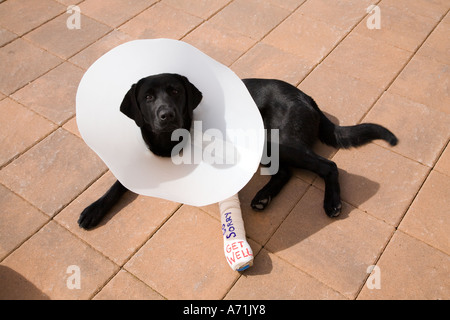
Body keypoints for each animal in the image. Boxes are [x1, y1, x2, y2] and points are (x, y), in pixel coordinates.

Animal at [78, 73, 398, 228]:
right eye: (147, 97)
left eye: (176, 91)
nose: (166, 115)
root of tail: (306, 96)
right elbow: (117, 185)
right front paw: (95, 209)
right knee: (285, 172)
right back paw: (263, 197)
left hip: (277, 140)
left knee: (327, 167)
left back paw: (331, 203)